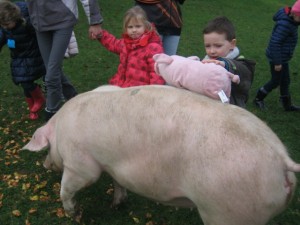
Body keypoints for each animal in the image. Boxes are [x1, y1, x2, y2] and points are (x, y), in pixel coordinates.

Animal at [22, 85, 300, 225]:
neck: (61, 127)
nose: (46, 164)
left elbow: (68, 189)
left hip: (228, 212)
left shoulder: (81, 164)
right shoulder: (114, 165)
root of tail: (282, 159)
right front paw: (117, 204)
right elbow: (118, 183)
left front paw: (75, 215)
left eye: (47, 147)